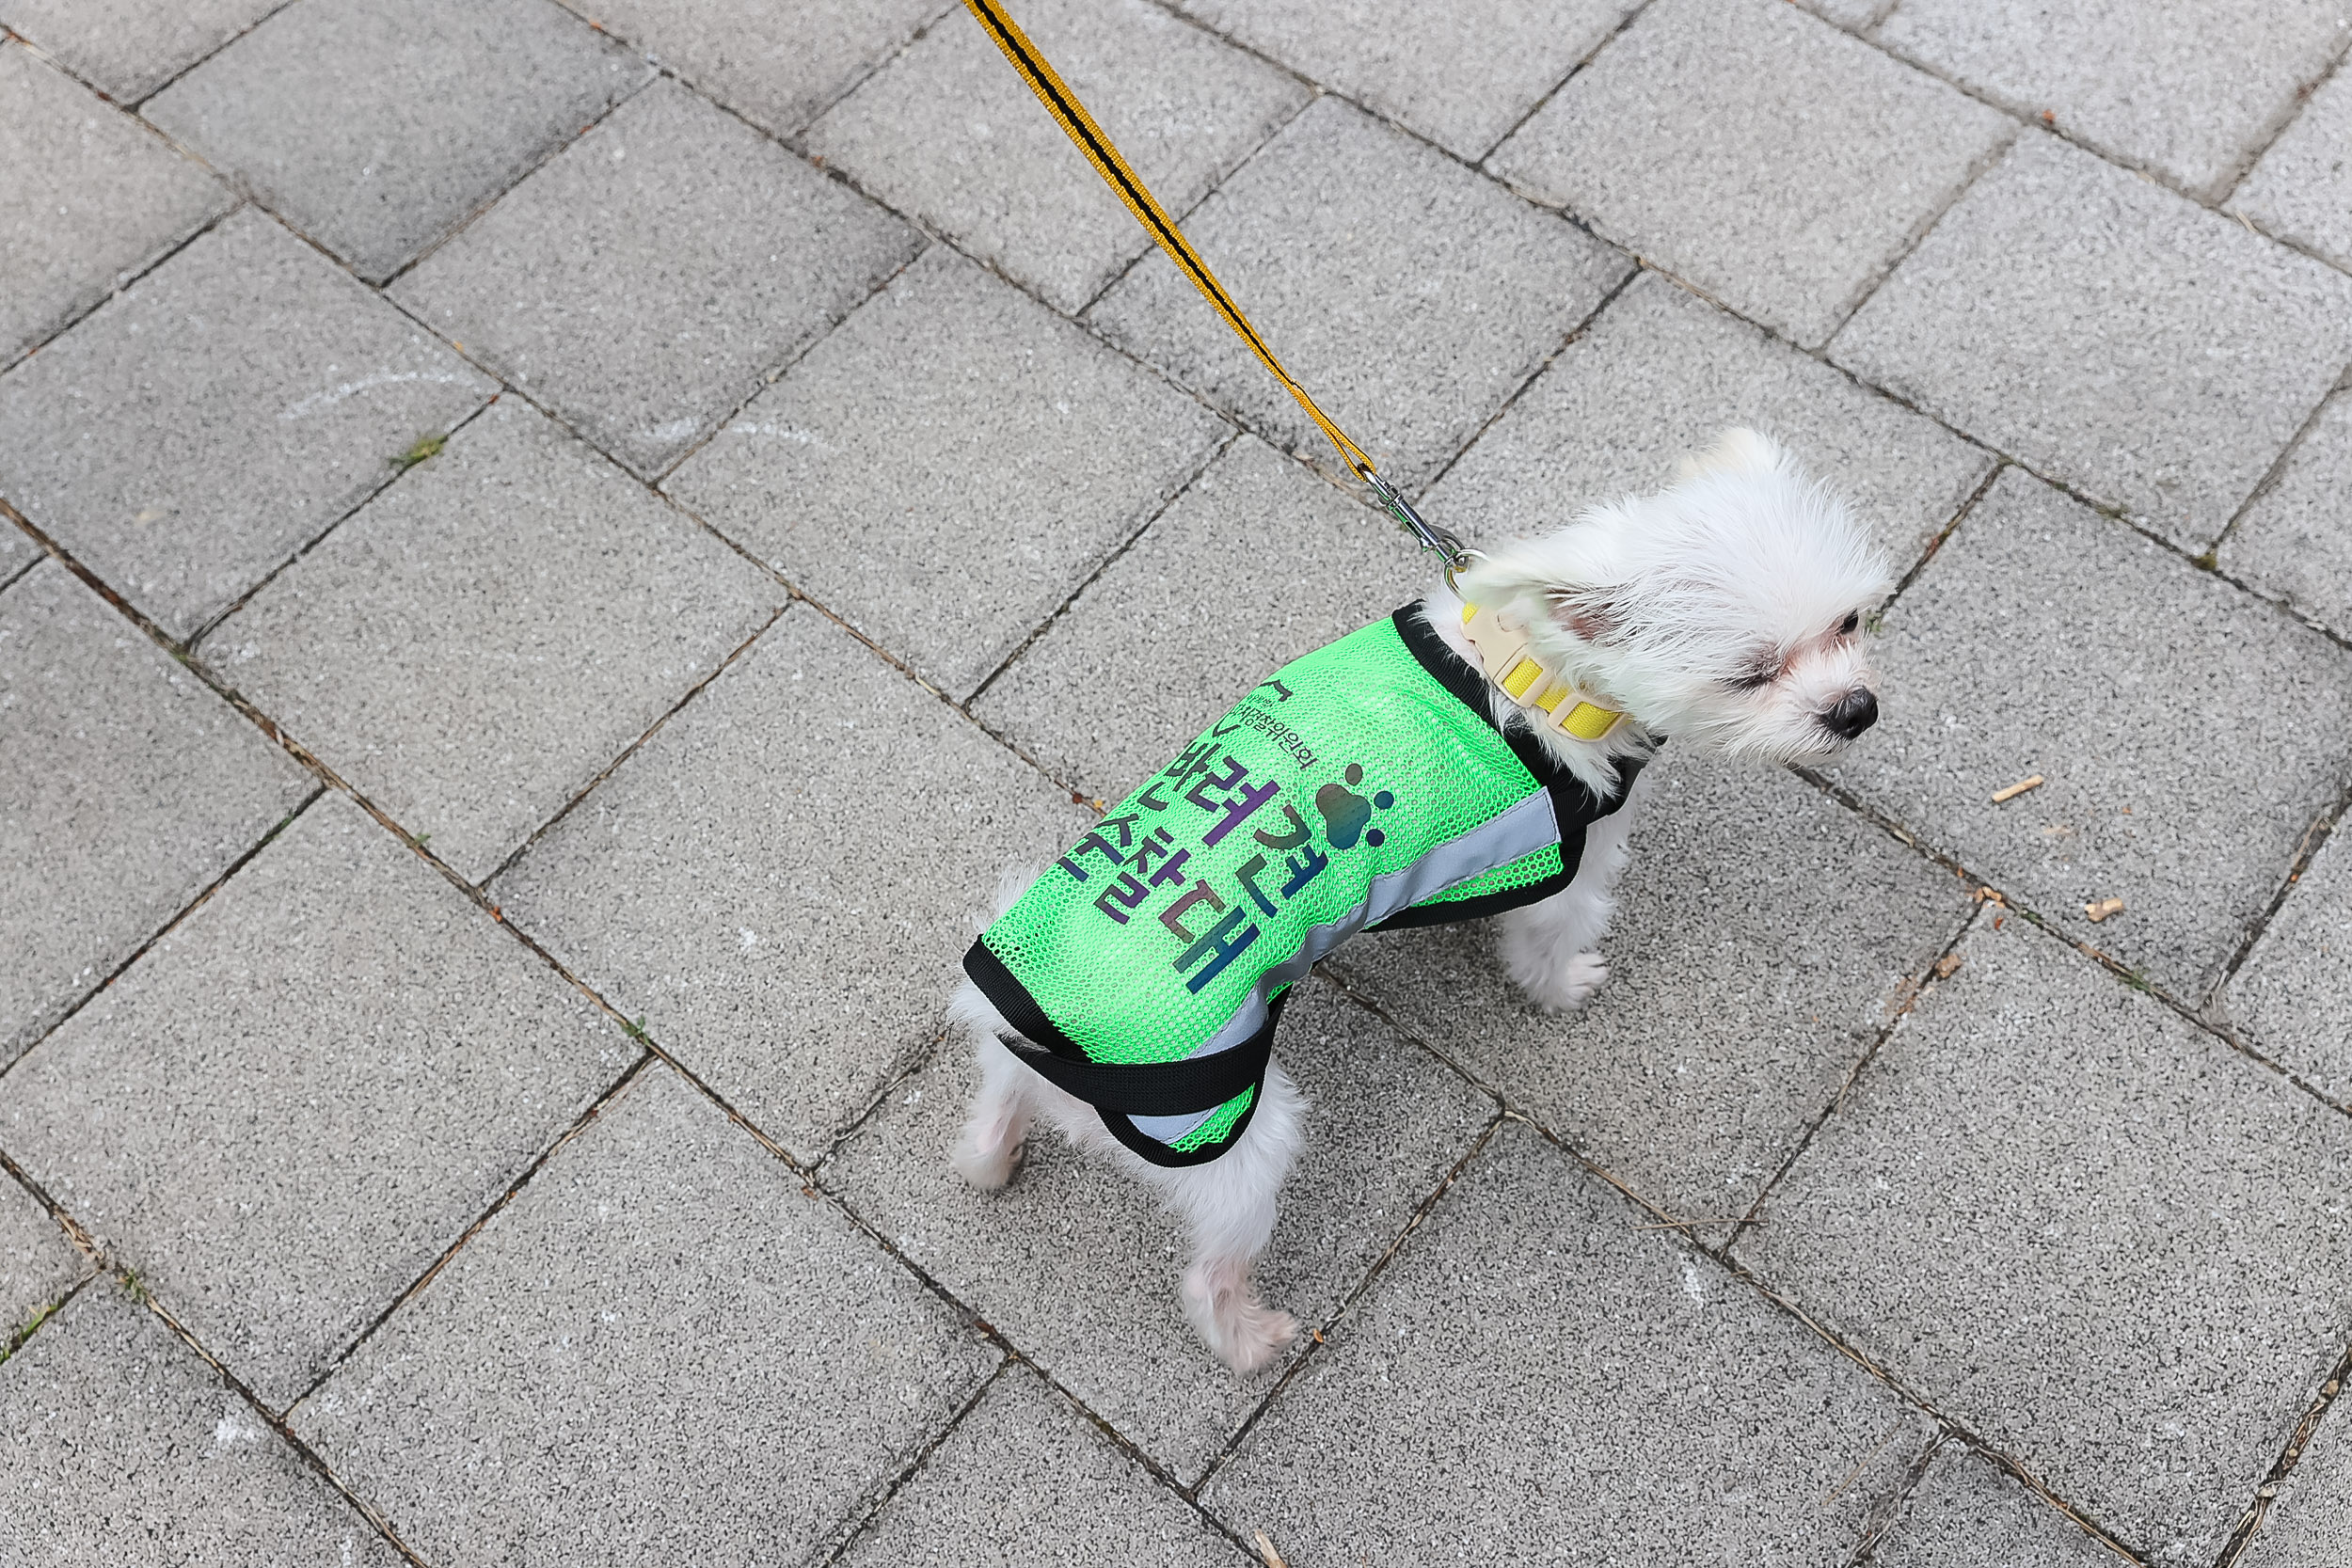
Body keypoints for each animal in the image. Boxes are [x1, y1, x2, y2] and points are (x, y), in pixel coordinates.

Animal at [941, 432, 1891, 1372]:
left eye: (1850, 622)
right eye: (1751, 674)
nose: (1856, 709)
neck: (1531, 670)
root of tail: (1047, 1037)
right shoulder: (1568, 867)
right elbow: (1549, 943)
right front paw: (1563, 987)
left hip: (1034, 1079)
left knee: (991, 1114)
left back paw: (995, 1155)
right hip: (1232, 1137)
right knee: (1209, 1275)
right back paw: (1249, 1338)